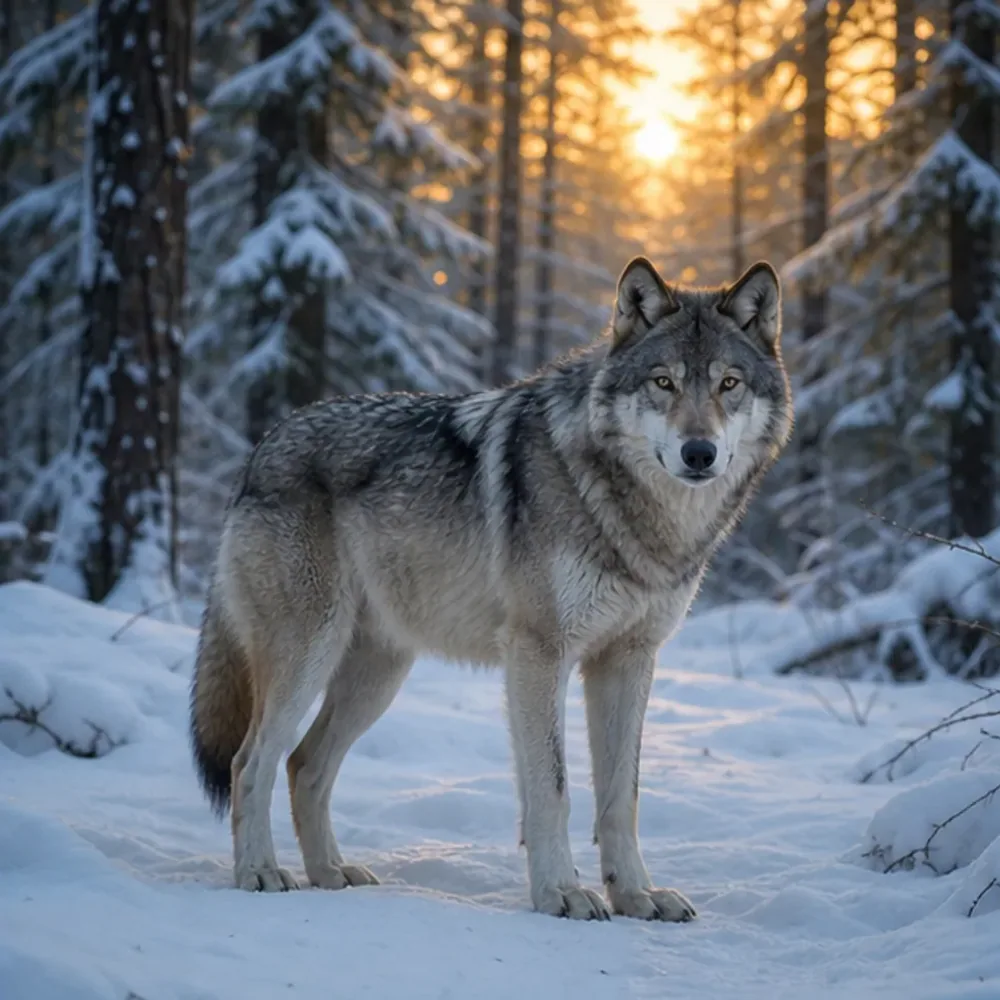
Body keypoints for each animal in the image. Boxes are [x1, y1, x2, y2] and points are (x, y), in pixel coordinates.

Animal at [190, 256, 793, 921]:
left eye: (728, 384)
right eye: (663, 383)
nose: (699, 452)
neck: (636, 515)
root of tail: (261, 448)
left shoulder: (628, 659)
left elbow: (621, 798)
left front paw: (636, 895)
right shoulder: (538, 653)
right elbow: (553, 788)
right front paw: (561, 892)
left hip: (378, 675)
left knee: (305, 764)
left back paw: (329, 873)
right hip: (309, 657)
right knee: (251, 762)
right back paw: (261, 873)